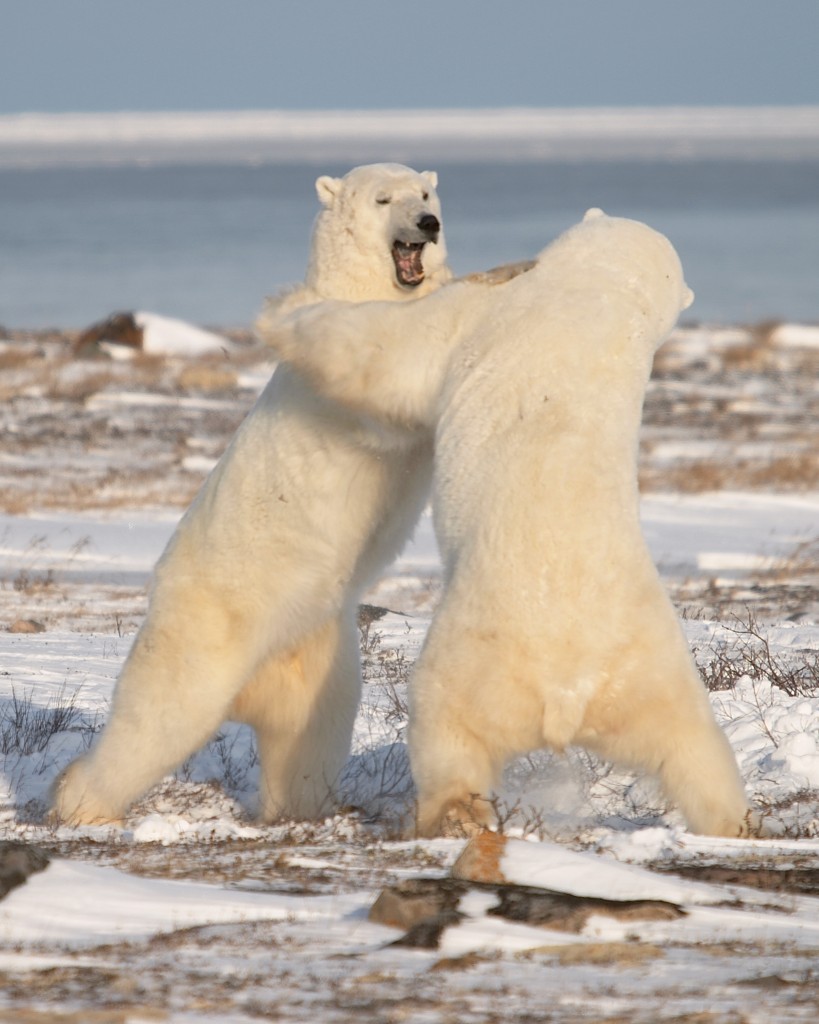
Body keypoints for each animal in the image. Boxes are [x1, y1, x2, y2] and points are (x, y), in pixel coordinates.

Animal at [52, 163, 452, 826]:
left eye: (425, 194)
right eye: (382, 199)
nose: (427, 224)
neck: (362, 292)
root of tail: (249, 691)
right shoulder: (341, 362)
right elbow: (386, 390)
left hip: (319, 650)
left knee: (311, 736)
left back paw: (310, 806)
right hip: (206, 629)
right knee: (156, 719)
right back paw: (79, 804)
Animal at [259, 209, 755, 839]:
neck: (602, 290)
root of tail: (568, 693)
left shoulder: (483, 314)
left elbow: (386, 353)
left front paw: (283, 306)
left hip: (477, 655)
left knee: (446, 728)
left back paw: (450, 815)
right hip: (651, 668)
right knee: (694, 749)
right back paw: (737, 823)